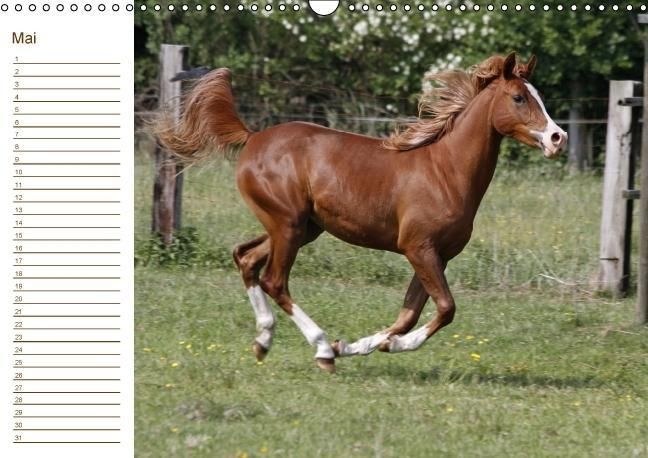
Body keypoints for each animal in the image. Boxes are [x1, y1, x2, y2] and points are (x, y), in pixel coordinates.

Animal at [156, 52, 567, 373]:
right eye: (518, 97)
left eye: (539, 97)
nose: (557, 138)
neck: (445, 171)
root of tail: (253, 137)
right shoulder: (419, 249)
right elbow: (445, 308)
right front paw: (378, 346)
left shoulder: (437, 255)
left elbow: (409, 315)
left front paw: (359, 345)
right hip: (288, 225)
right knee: (274, 280)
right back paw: (321, 349)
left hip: (300, 228)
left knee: (245, 258)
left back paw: (265, 341)